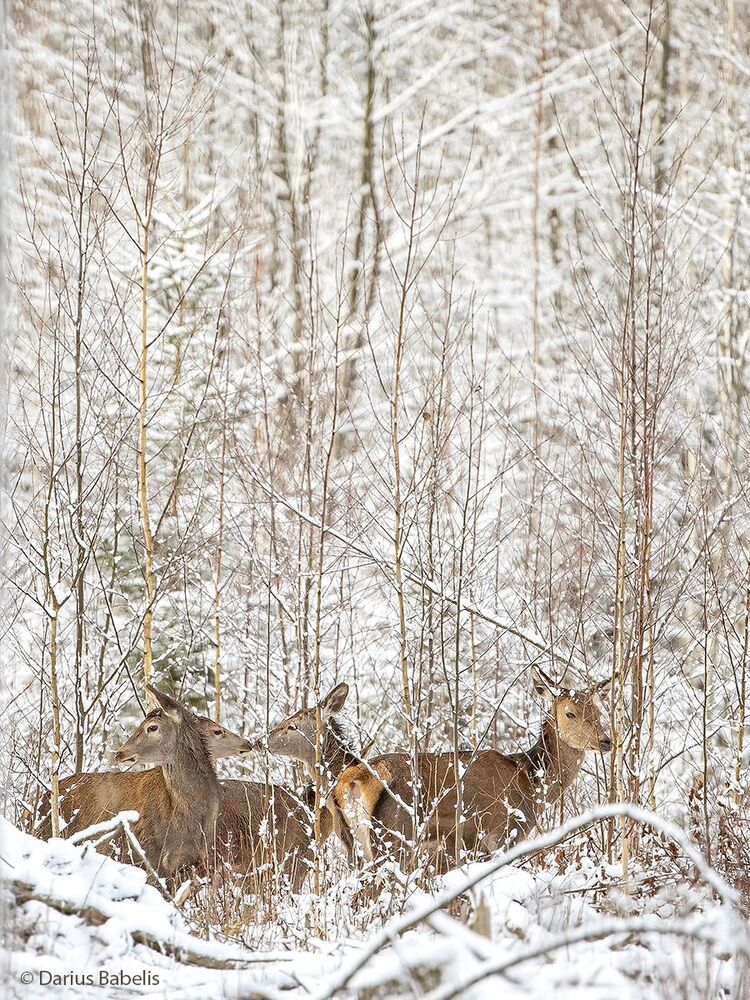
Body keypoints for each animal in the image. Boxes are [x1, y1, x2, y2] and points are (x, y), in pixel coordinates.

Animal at [257, 669, 611, 873]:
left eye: (599, 711)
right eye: (569, 712)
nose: (606, 741)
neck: (532, 784)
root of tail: (352, 779)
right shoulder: (501, 834)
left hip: (356, 842)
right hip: (393, 837)